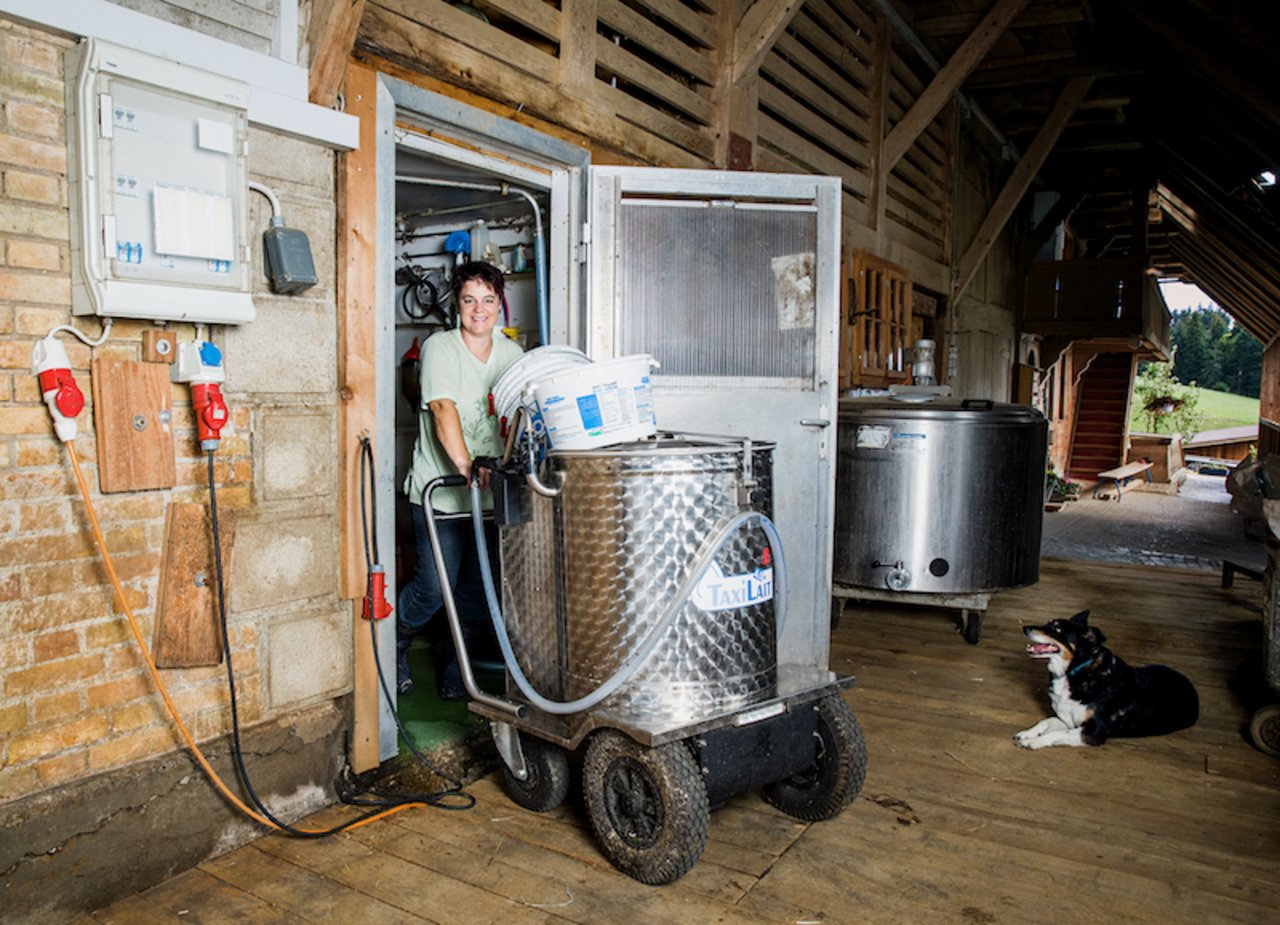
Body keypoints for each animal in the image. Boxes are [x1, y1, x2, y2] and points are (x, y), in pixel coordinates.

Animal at [1008, 611, 1198, 747]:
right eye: (1048, 623)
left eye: (1058, 630)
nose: (1025, 628)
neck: (1076, 671)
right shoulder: (1068, 721)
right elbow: (1046, 721)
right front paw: (1027, 733)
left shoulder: (1092, 732)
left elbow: (1057, 734)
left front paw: (1033, 741)